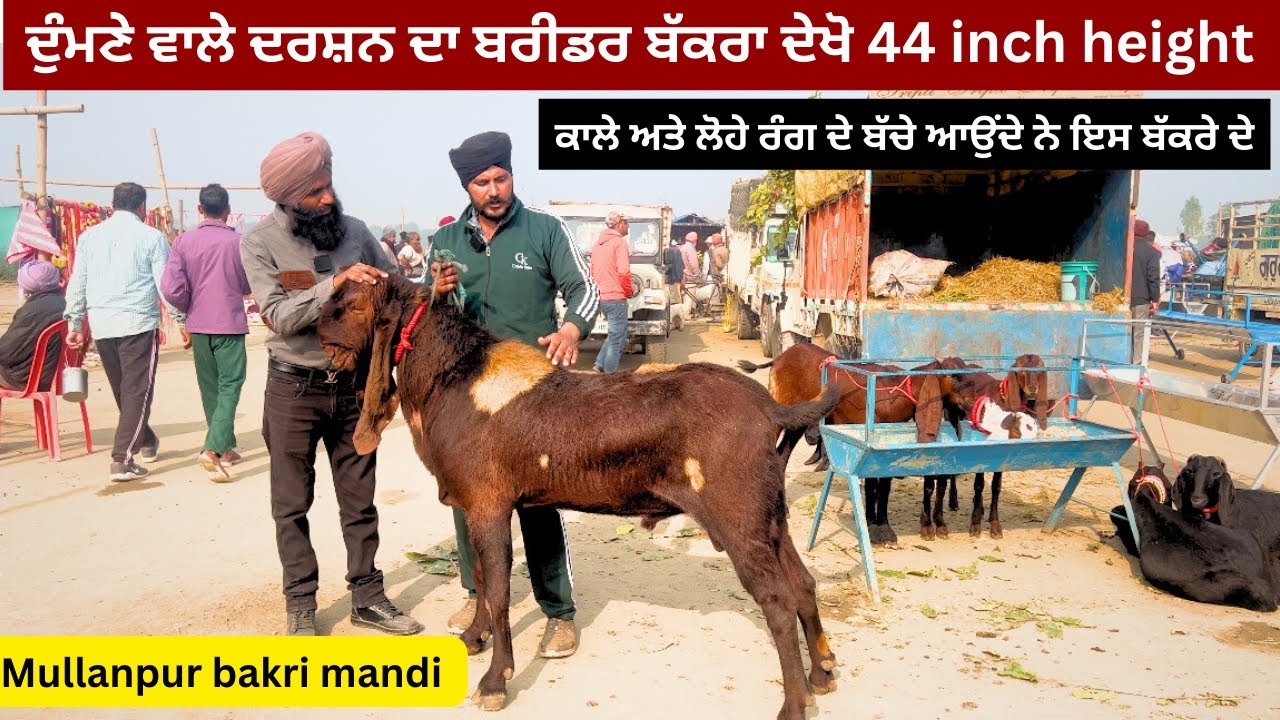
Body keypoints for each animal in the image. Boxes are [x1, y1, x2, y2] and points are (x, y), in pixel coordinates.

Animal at [318, 274, 843, 720]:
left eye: (351, 303)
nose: (313, 323)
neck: (455, 378)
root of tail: (772, 408)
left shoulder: (489, 505)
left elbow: (501, 589)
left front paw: (495, 681)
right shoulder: (475, 506)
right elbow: (484, 580)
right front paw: (472, 636)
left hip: (738, 520)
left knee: (778, 602)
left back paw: (793, 704)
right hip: (769, 517)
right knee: (803, 584)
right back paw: (821, 674)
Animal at [738, 342, 954, 544]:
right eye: (954, 377)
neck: (892, 390)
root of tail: (780, 357)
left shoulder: (884, 449)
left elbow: (884, 486)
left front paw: (885, 529)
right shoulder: (865, 446)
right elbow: (872, 486)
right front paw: (872, 530)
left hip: (798, 417)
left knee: (781, 457)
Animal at [938, 356, 1043, 539]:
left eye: (1040, 367)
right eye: (1020, 370)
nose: (1032, 390)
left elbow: (996, 486)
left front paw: (995, 525)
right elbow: (979, 484)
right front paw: (975, 526)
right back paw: (954, 501)